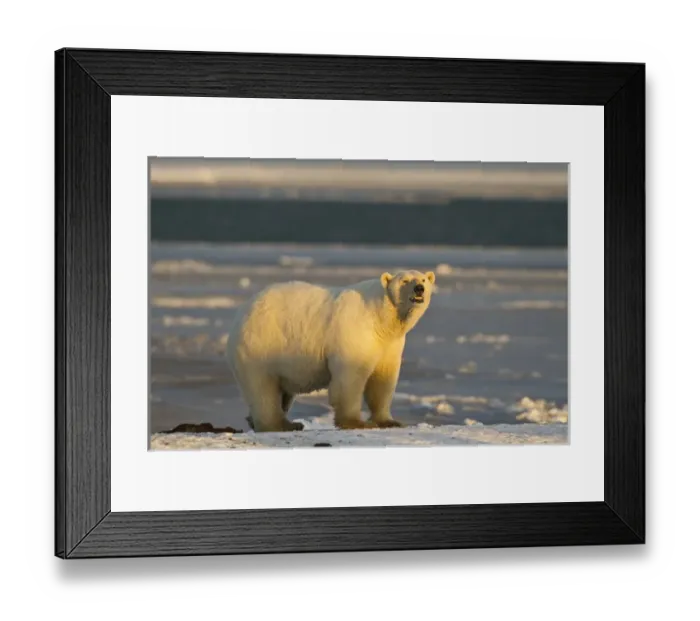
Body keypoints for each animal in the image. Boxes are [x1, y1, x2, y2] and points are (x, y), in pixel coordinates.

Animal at [225, 270, 436, 432]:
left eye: (423, 280)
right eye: (405, 280)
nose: (419, 289)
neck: (380, 318)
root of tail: (240, 315)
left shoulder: (389, 344)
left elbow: (383, 379)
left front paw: (389, 421)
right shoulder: (355, 331)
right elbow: (350, 377)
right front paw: (356, 422)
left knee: (281, 393)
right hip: (261, 346)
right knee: (263, 389)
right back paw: (279, 425)